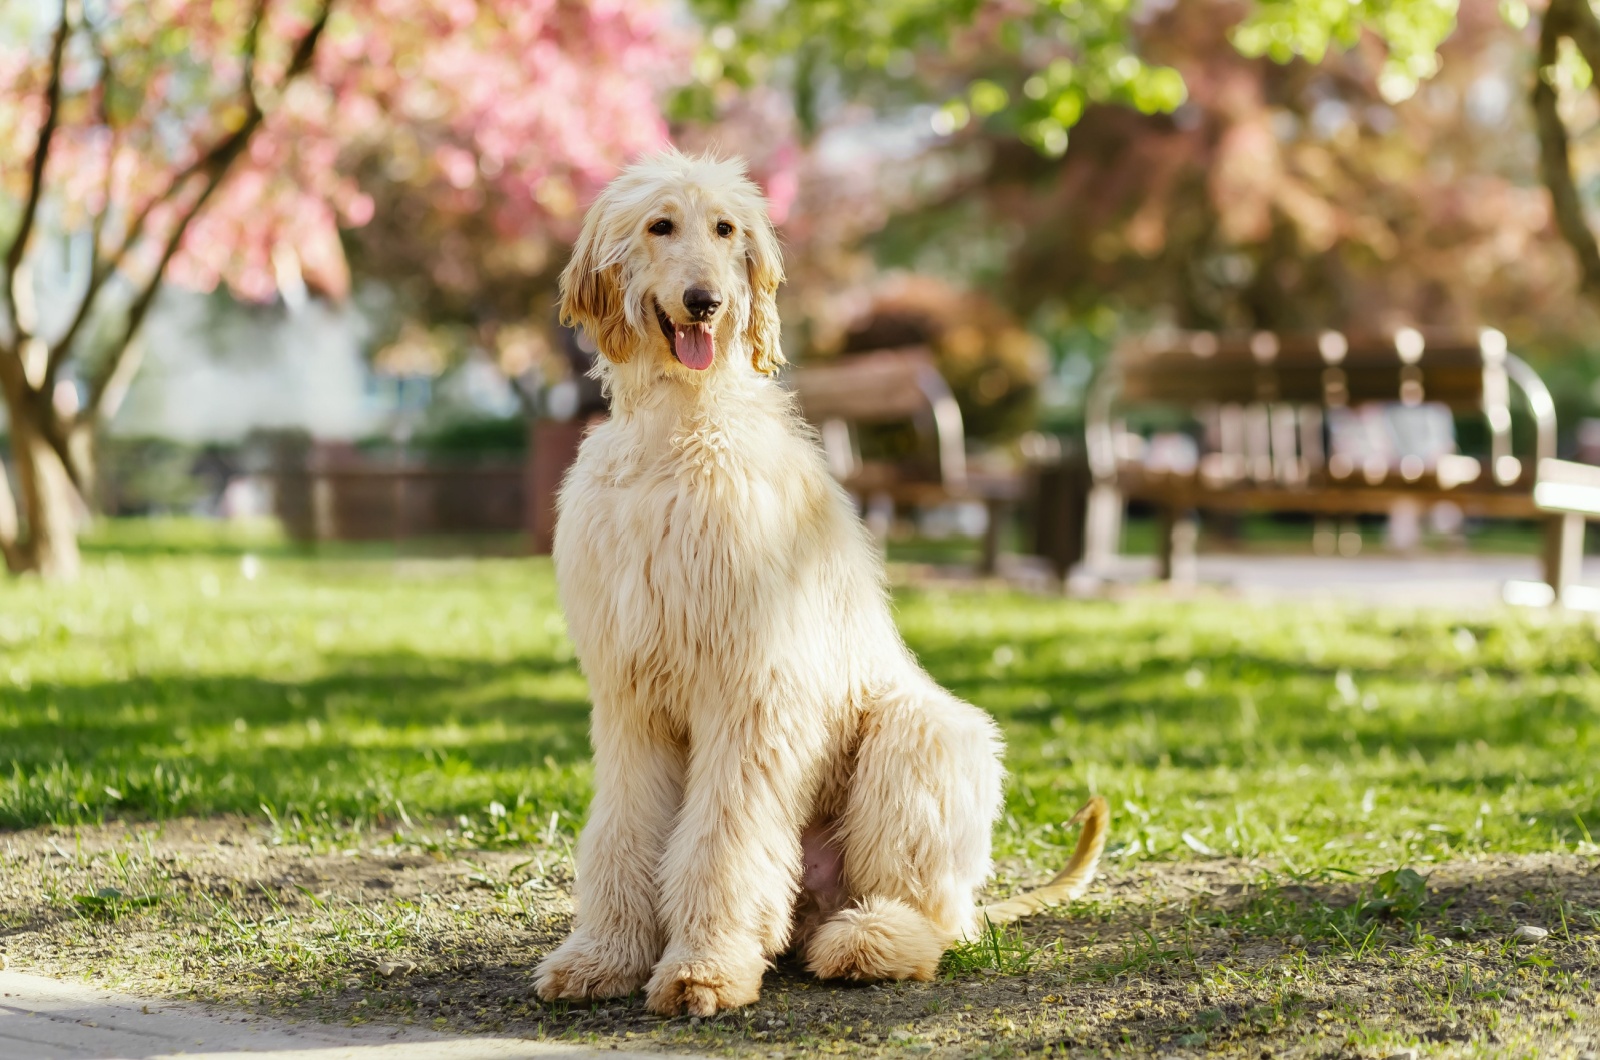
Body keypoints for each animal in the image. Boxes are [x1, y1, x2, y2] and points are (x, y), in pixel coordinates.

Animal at [531, 151, 1107, 1024]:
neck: (683, 428)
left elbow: (723, 838)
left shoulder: (750, 686)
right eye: (661, 225)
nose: (707, 302)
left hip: (923, 734)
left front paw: (704, 967)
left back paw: (868, 943)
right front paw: (602, 956)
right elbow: (623, 830)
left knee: (931, 912)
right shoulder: (632, 694)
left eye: (726, 229)